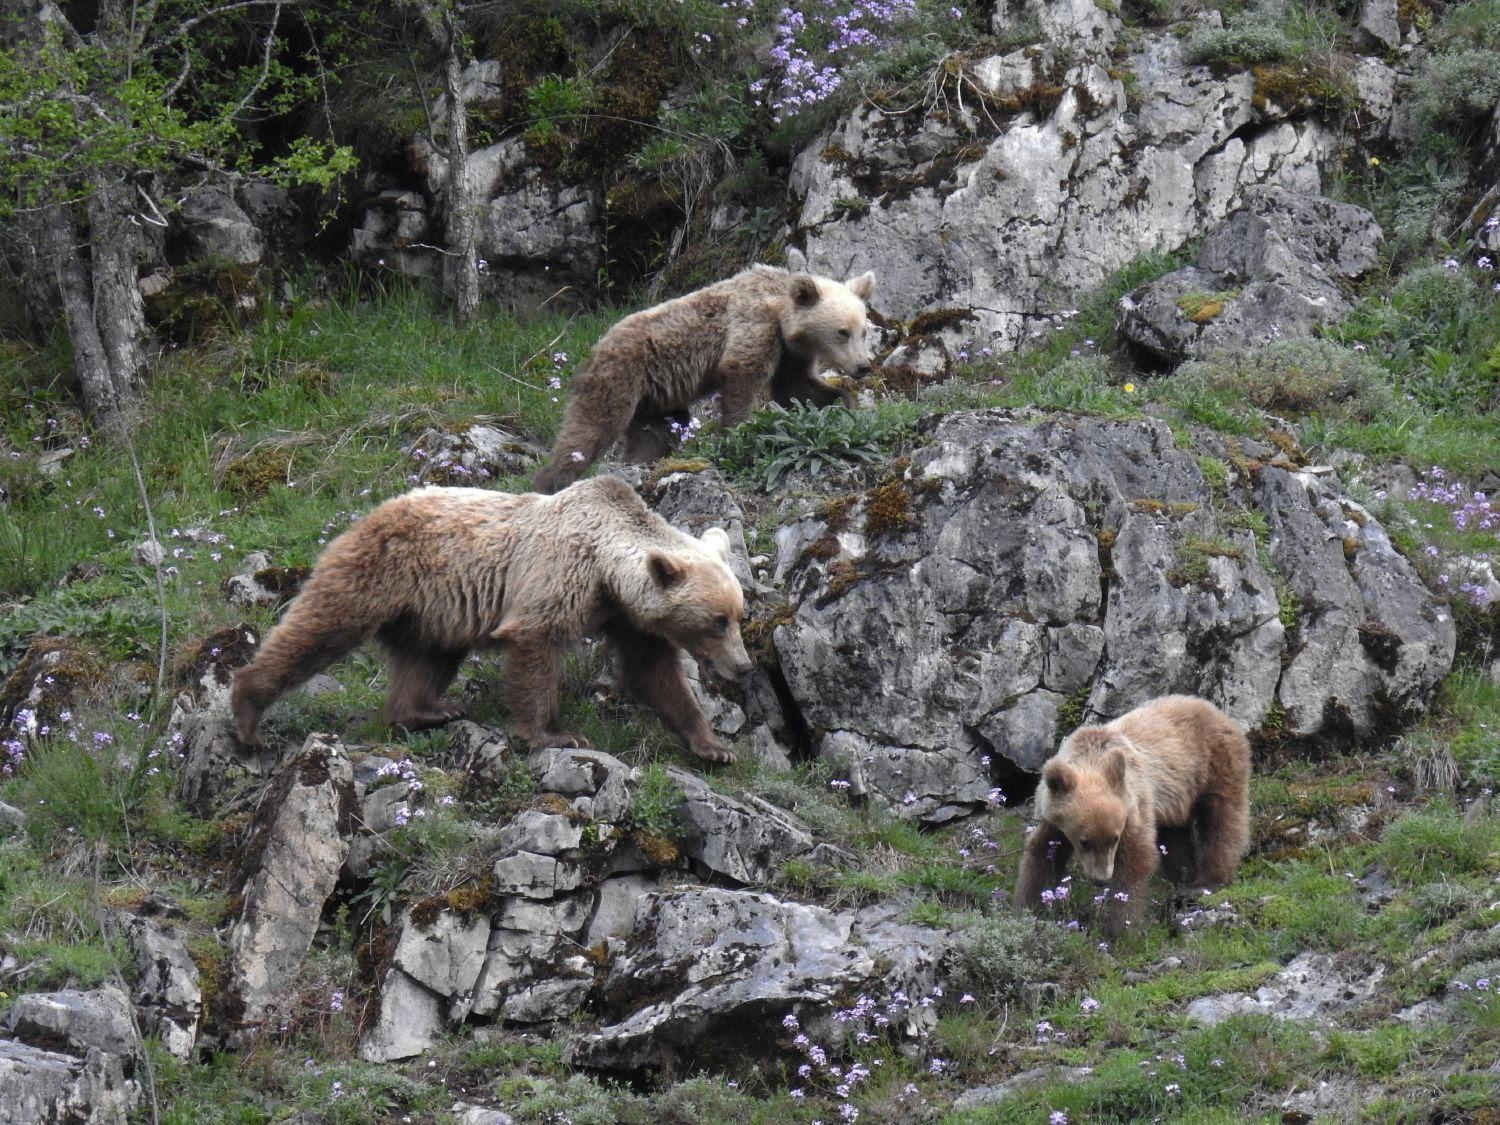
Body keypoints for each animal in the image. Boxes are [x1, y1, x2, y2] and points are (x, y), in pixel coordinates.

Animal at [226, 477, 750, 768]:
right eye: (717, 620)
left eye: (739, 615)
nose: (744, 667)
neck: (606, 571)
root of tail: (374, 508)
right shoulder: (557, 574)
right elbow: (534, 643)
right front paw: (555, 734)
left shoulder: (627, 617)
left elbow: (654, 672)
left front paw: (713, 745)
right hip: (378, 573)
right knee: (320, 628)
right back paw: (249, 713)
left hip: (432, 610)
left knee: (428, 659)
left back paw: (427, 710)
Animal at [531, 267, 876, 495]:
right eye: (842, 332)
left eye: (863, 330)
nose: (863, 366)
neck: (782, 315)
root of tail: (594, 348)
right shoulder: (755, 325)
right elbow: (742, 375)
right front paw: (736, 433)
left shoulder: (789, 355)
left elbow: (798, 389)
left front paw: (843, 401)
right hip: (618, 379)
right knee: (589, 432)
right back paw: (550, 481)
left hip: (657, 399)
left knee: (653, 435)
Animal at [1014, 702, 1248, 936]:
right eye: (1084, 841)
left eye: (1113, 839)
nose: (1101, 879)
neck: (1092, 758)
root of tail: (1215, 710)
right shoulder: (1053, 819)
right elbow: (1043, 853)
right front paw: (1030, 907)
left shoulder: (1133, 804)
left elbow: (1135, 859)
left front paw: (1121, 929)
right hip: (1175, 800)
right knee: (1175, 837)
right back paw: (1182, 877)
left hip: (1214, 766)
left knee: (1222, 821)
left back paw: (1207, 881)